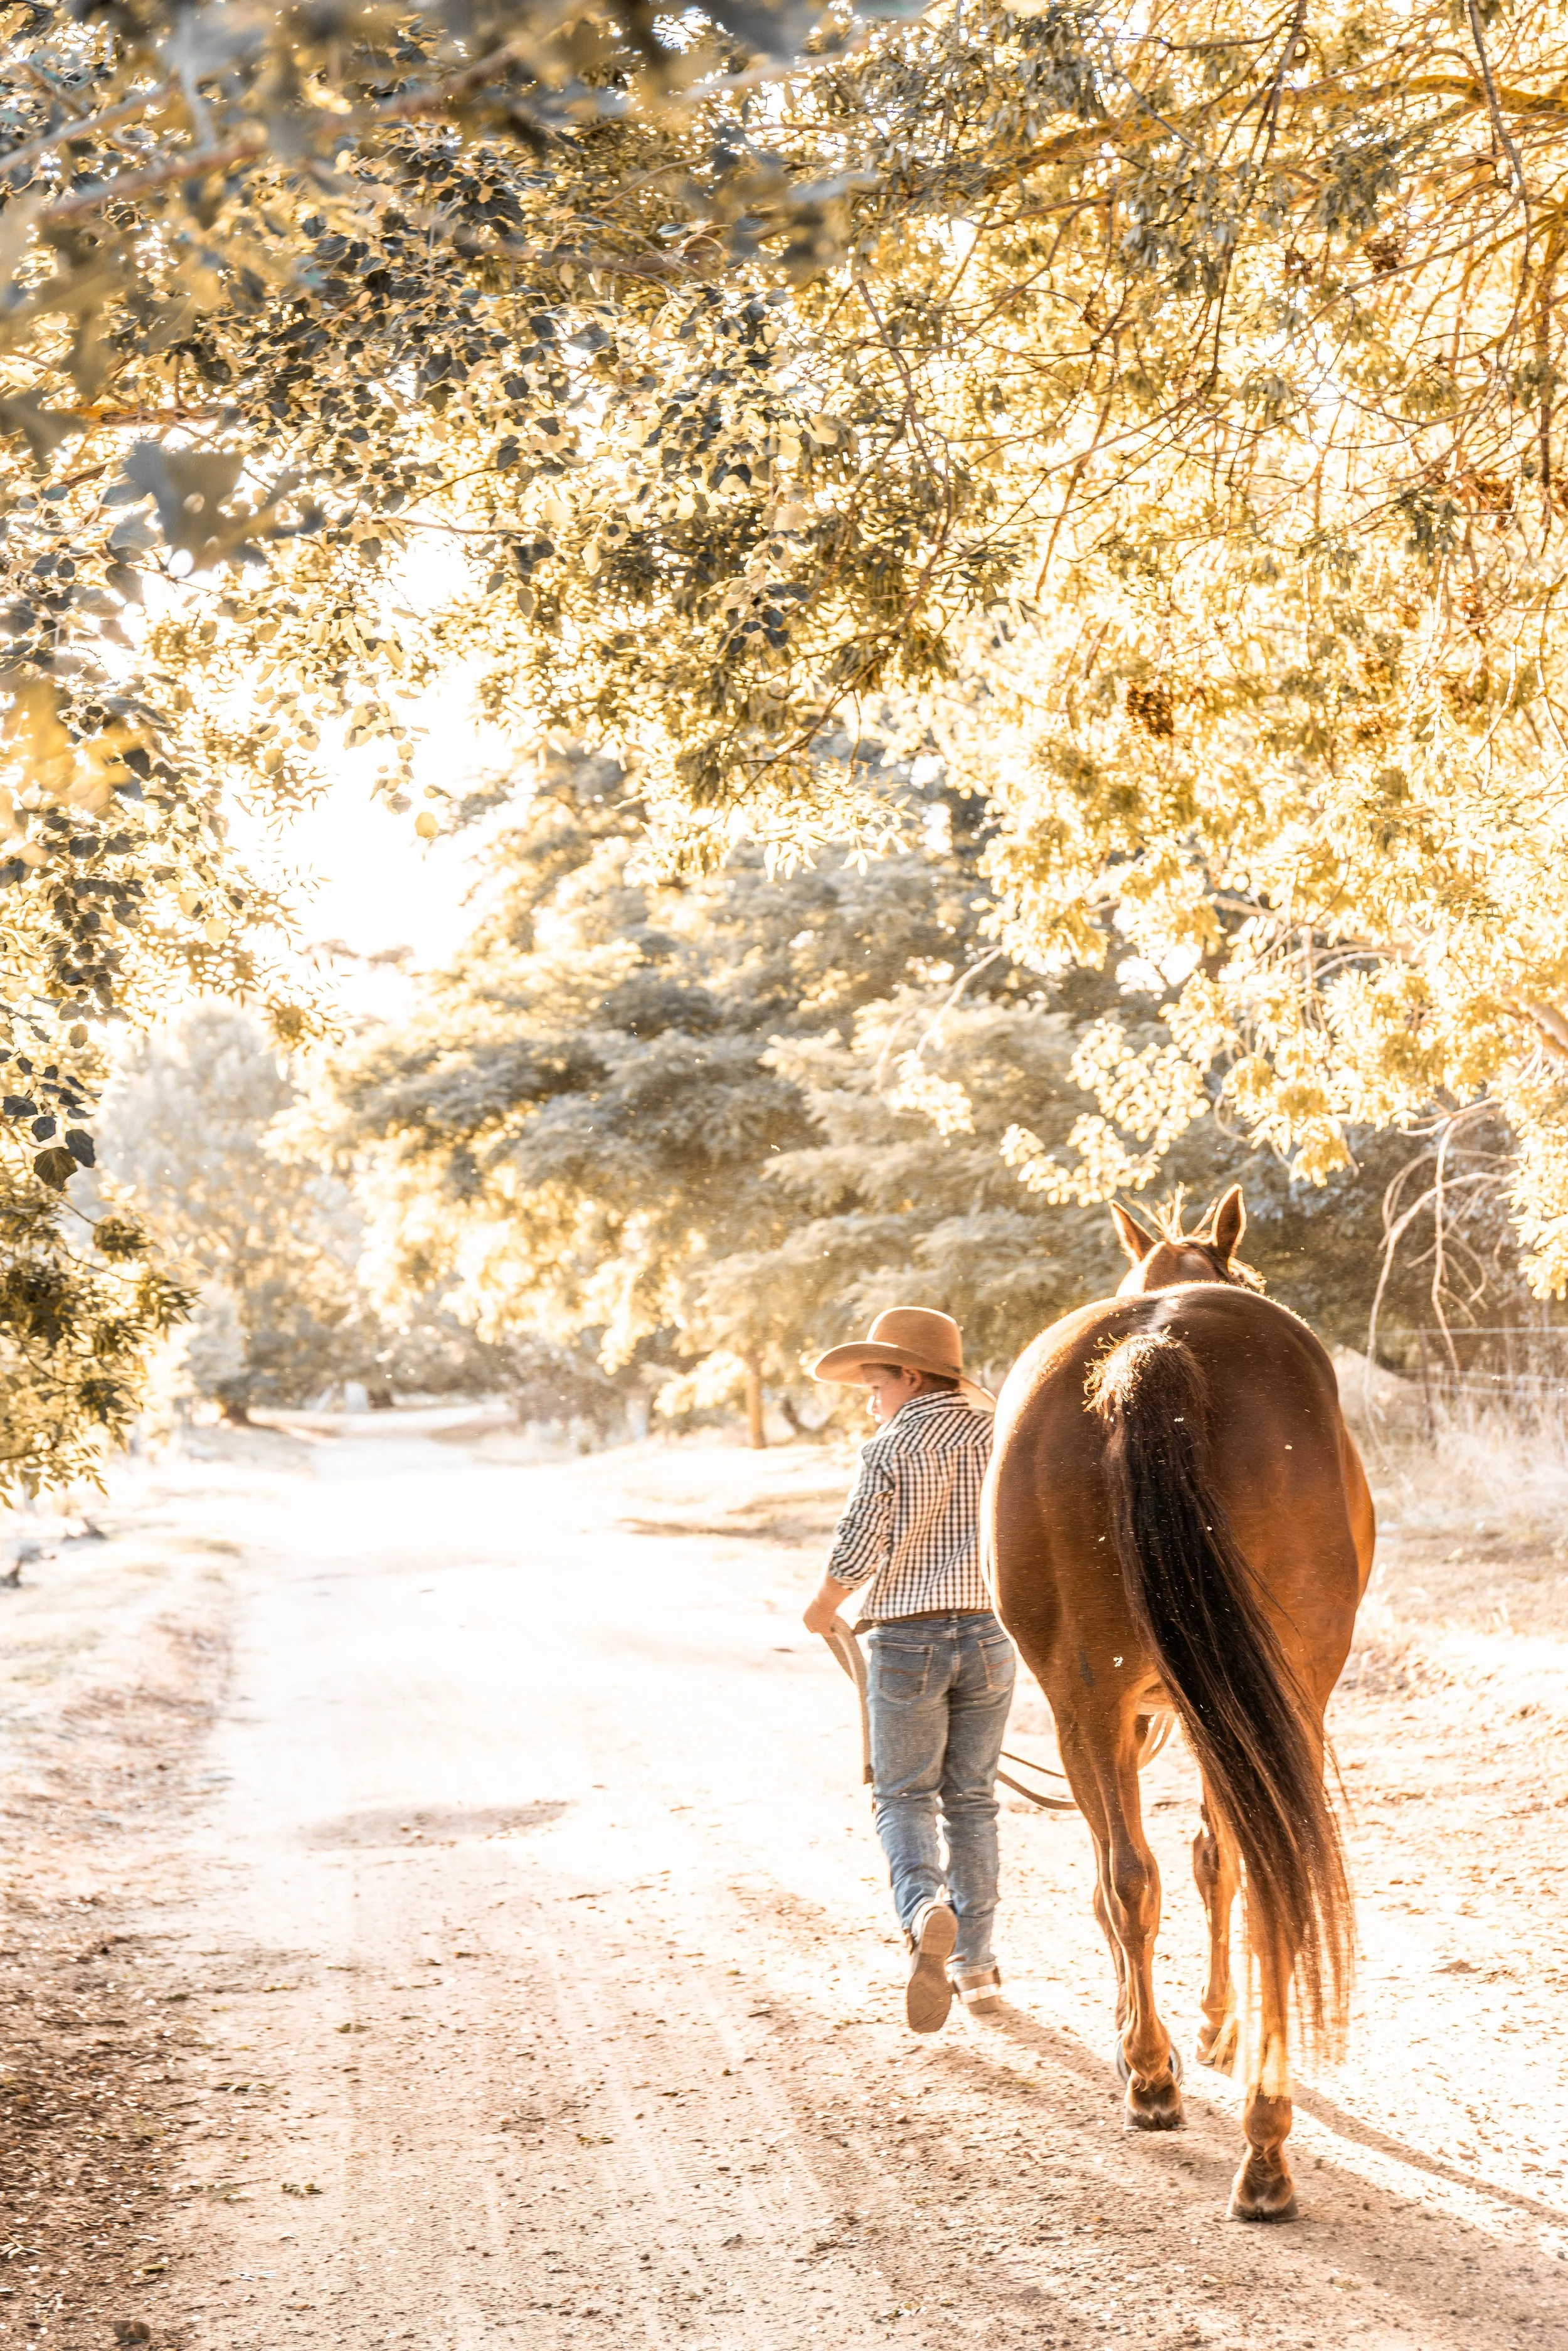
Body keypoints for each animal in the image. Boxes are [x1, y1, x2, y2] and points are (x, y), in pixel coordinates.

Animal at [986, 1185, 1374, 2220]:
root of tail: (1154, 1351)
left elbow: (1164, 1868)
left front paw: (1171, 2034)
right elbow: (1208, 1860)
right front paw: (1199, 2029)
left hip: (1095, 1701)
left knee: (1139, 1877)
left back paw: (1186, 2096)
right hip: (1252, 1696)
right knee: (1234, 1879)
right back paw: (1246, 2133)